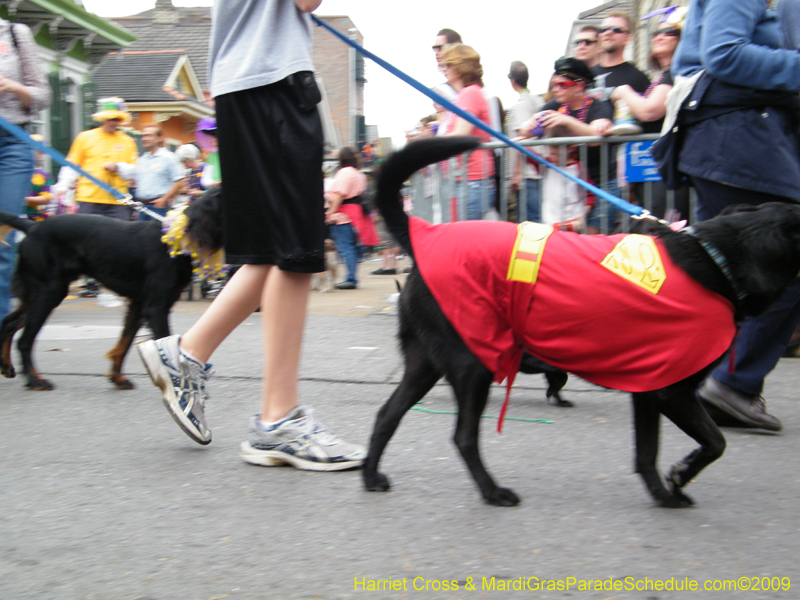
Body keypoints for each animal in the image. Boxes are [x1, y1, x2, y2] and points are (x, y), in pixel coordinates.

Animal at [0, 190, 222, 392]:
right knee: (24, 340)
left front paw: (117, 378)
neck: (178, 236)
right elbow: (163, 343)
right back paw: (34, 380)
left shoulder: (139, 305)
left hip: (43, 293)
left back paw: (7, 367)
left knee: (9, 323)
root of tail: (32, 226)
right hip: (47, 292)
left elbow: (124, 344)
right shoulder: (156, 307)